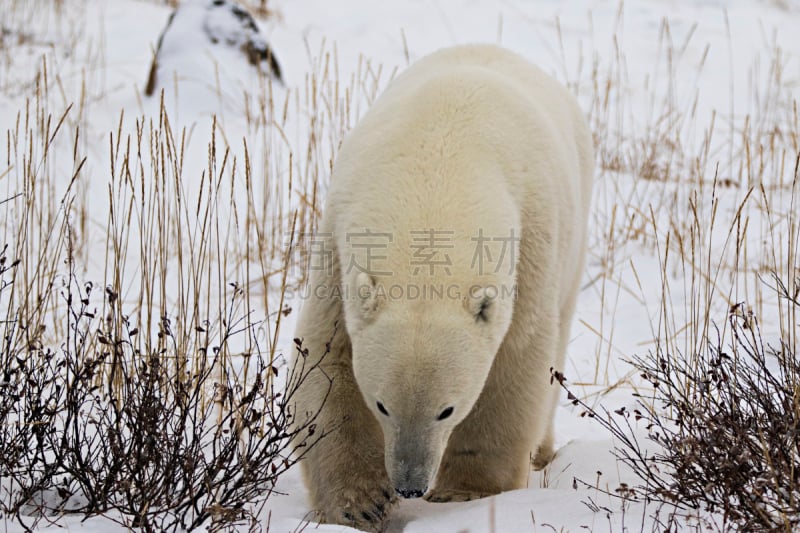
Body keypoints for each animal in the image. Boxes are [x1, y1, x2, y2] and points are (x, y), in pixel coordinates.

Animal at [290, 43, 592, 528]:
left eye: (446, 410)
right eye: (382, 405)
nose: (409, 484)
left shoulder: (530, 248)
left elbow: (514, 366)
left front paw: (466, 493)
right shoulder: (338, 247)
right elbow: (326, 354)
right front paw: (361, 502)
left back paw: (543, 452)